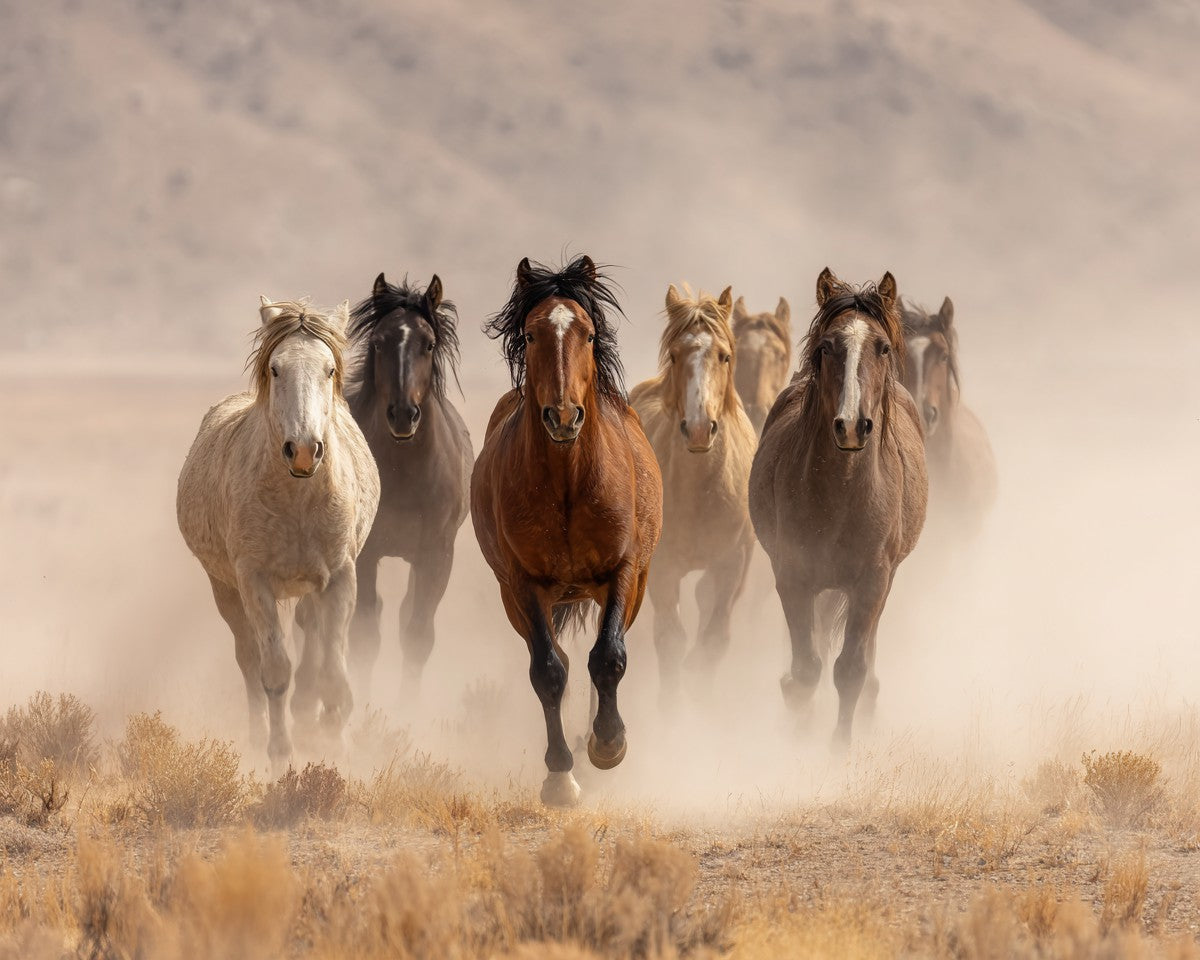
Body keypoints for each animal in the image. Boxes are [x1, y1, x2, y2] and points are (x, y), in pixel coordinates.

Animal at [177, 298, 380, 770]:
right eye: (275, 368)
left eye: (329, 369)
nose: (303, 450)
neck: (298, 501)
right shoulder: (254, 581)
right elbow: (273, 672)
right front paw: (280, 756)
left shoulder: (340, 577)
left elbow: (333, 674)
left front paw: (334, 748)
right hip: (225, 589)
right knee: (249, 660)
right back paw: (259, 738)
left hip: (310, 587)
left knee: (311, 641)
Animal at [344, 272, 473, 703]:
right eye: (378, 343)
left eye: (428, 344)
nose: (403, 415)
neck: (404, 473)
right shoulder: (365, 555)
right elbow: (364, 637)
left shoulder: (436, 555)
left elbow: (416, 635)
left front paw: (407, 712)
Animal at [470, 255, 662, 807]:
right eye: (531, 334)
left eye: (590, 333)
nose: (562, 416)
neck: (568, 485)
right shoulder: (523, 585)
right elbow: (549, 673)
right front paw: (560, 777)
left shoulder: (625, 572)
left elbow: (609, 658)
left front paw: (609, 745)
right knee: (558, 661)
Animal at [629, 284, 756, 703]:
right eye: (674, 354)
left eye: (725, 355)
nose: (700, 429)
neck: (701, 492)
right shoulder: (663, 567)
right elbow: (670, 639)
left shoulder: (732, 563)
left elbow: (713, 641)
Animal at [748, 269, 926, 746]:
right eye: (827, 346)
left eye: (882, 347)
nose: (850, 425)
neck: (842, 494)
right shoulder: (793, 576)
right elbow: (806, 671)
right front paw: (798, 738)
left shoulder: (872, 583)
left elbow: (850, 669)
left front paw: (840, 748)